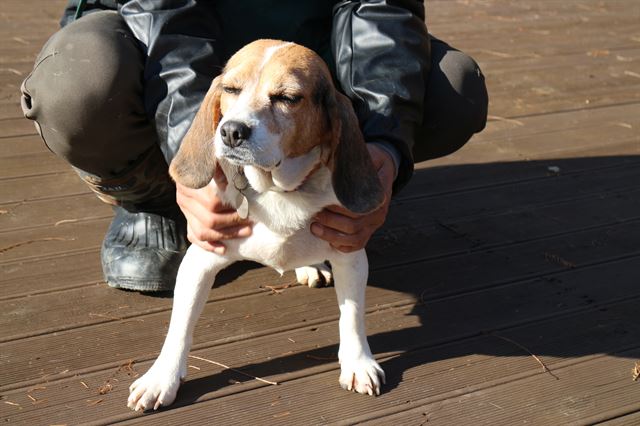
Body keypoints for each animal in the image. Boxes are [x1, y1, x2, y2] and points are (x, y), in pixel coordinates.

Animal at [125, 39, 384, 410]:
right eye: (231, 89)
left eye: (288, 97)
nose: (232, 131)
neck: (277, 190)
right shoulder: (199, 260)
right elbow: (180, 326)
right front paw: (161, 378)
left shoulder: (350, 251)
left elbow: (352, 315)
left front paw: (358, 363)